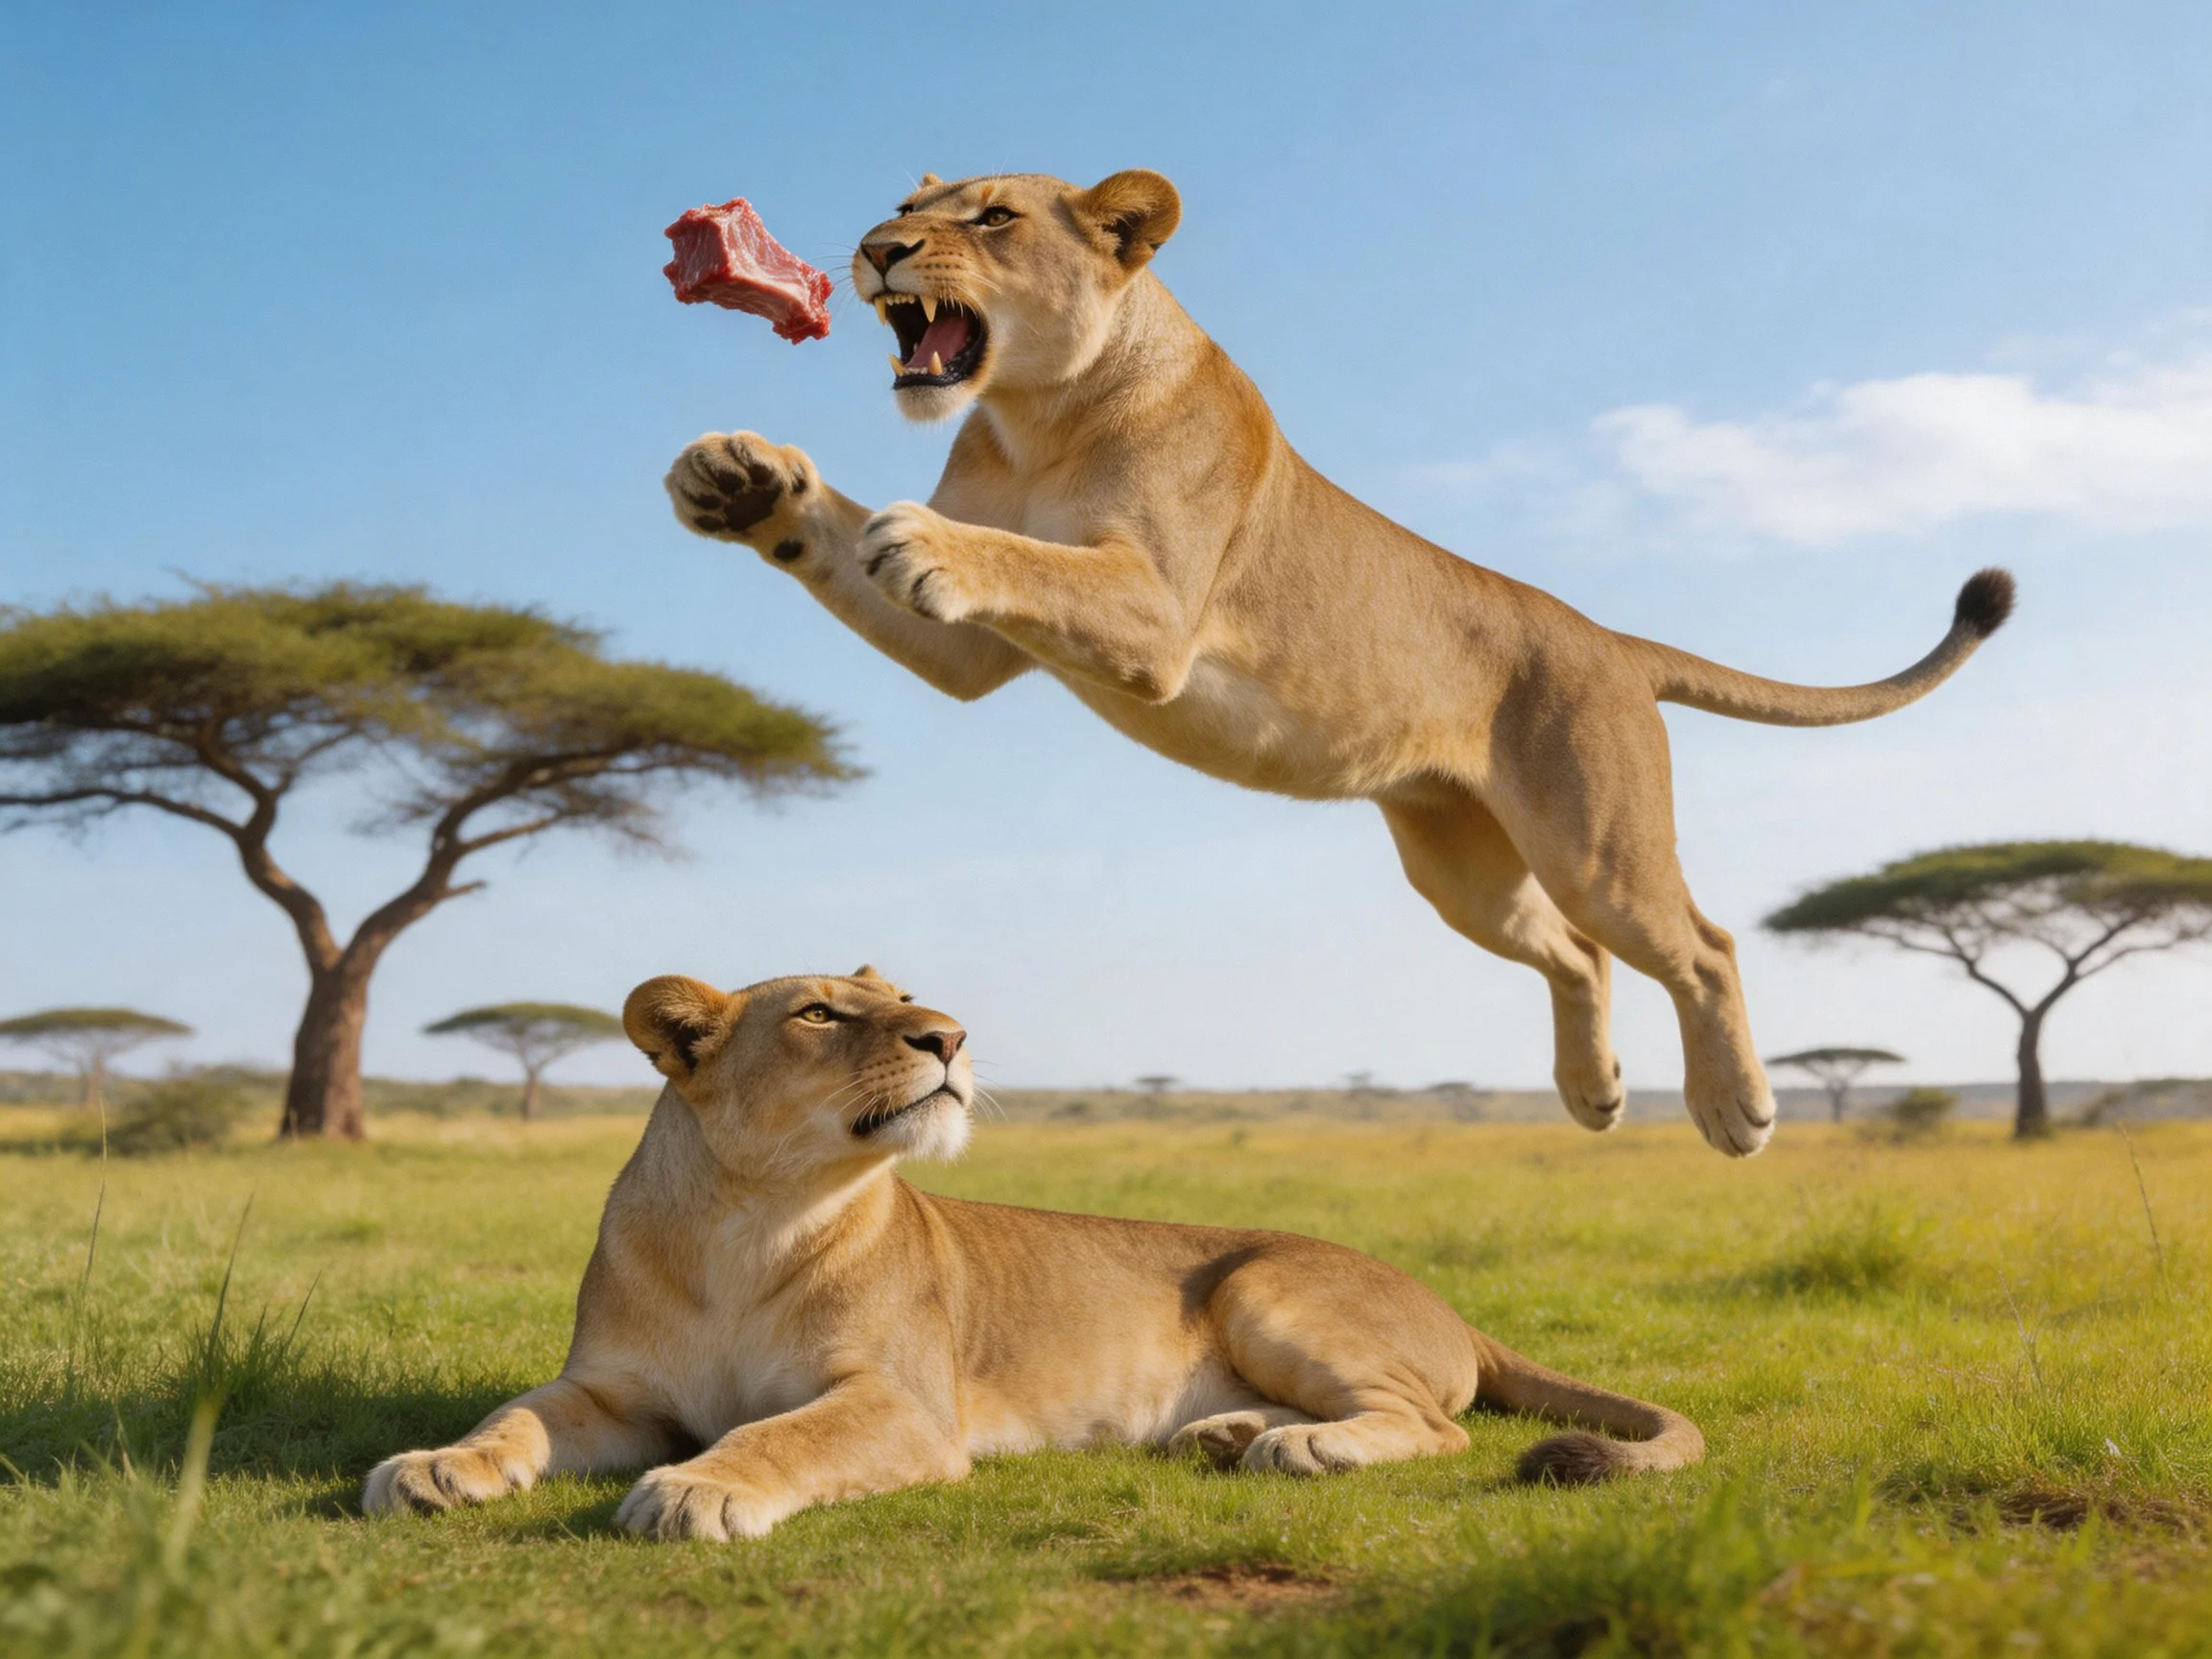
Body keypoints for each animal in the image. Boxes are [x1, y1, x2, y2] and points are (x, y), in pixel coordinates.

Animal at [361, 969, 1704, 1540]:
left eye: (906, 996)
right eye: (819, 1012)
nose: (950, 1034)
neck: (753, 1216)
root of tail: (1451, 1306)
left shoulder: (903, 1406)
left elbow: (779, 1433)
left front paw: (702, 1488)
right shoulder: (610, 1392)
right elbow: (511, 1417)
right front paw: (434, 1467)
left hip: (1265, 1286)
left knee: (1437, 1426)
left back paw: (1298, 1447)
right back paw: (1224, 1435)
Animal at [662, 171, 2013, 1157]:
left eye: (991, 219)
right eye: (905, 200)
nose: (876, 248)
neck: (1035, 411)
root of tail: (1604, 635)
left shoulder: (1158, 617)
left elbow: (1025, 558)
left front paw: (919, 533)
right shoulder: (968, 653)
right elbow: (853, 547)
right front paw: (742, 480)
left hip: (1595, 842)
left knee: (1703, 944)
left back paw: (1736, 1108)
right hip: (1461, 869)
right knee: (1574, 956)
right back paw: (1593, 1094)